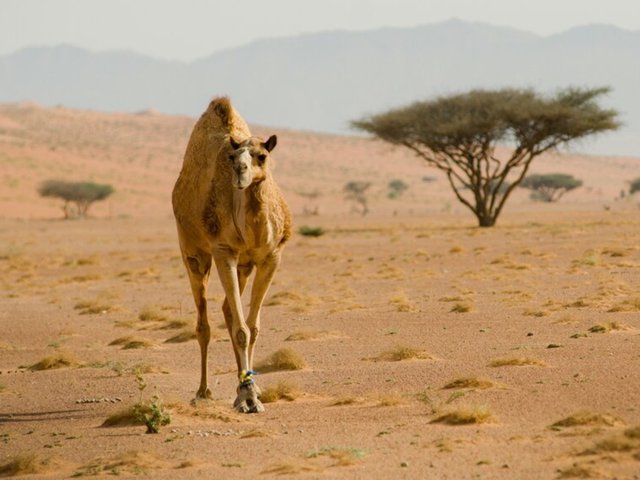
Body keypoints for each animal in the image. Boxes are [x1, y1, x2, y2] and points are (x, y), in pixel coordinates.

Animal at [170, 96, 290, 412]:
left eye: (262, 155)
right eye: (233, 158)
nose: (240, 172)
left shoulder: (271, 256)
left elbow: (252, 327)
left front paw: (252, 390)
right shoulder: (223, 251)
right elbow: (242, 330)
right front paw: (247, 397)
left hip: (245, 265)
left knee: (227, 310)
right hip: (193, 251)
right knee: (204, 323)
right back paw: (203, 391)